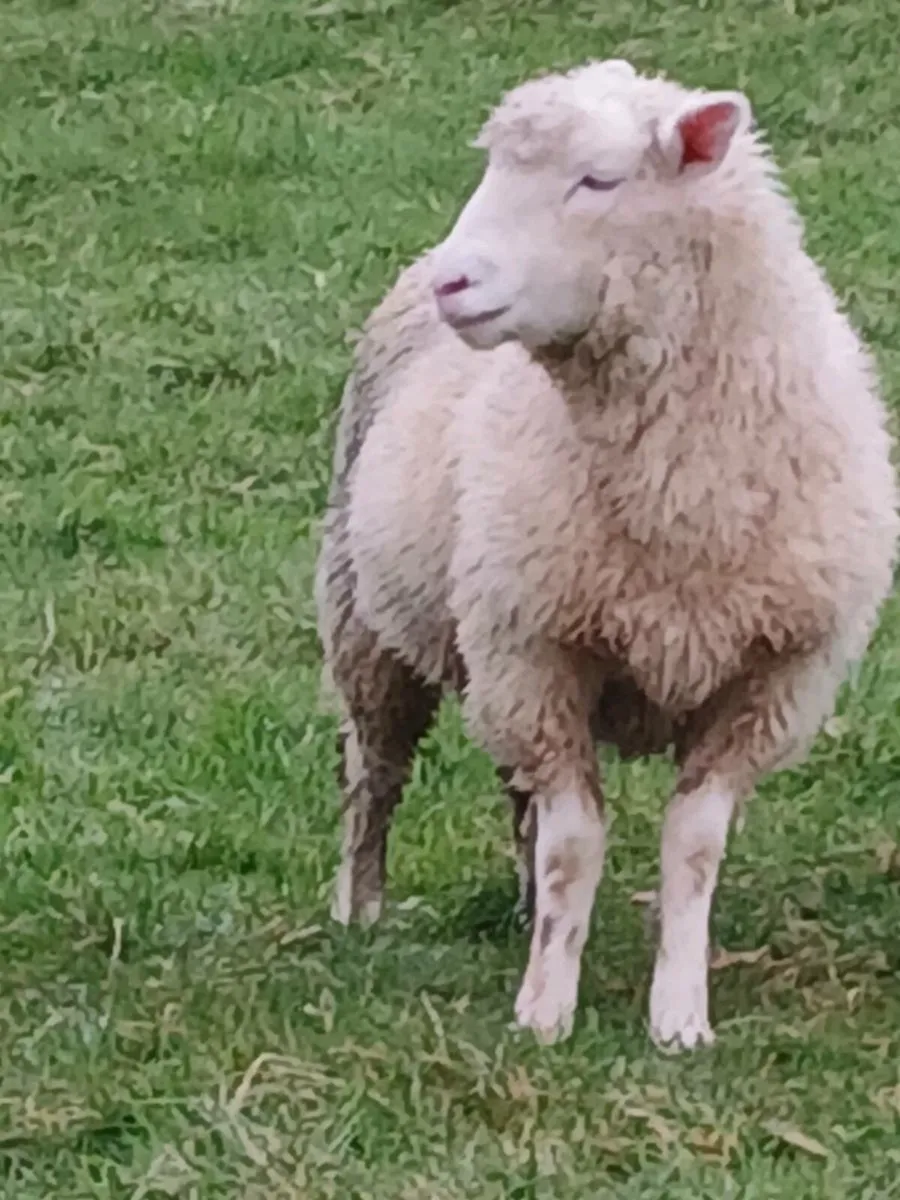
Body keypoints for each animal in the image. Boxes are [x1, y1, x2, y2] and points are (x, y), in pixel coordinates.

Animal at [315, 58, 899, 1051]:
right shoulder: (541, 654)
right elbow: (574, 845)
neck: (681, 503)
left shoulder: (765, 683)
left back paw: (515, 912)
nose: (455, 281)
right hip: (371, 623)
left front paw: (680, 1017)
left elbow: (691, 847)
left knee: (512, 793)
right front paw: (546, 1011)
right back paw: (360, 911)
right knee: (375, 778)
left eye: (598, 180)